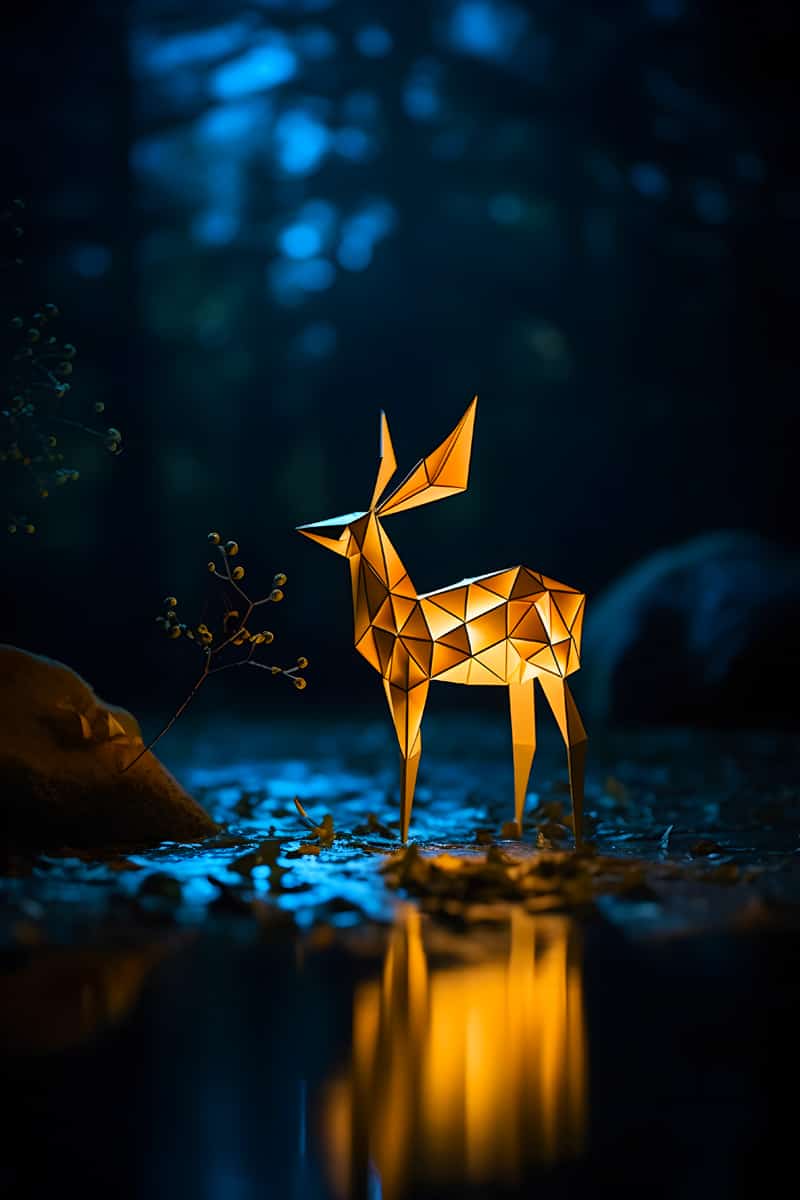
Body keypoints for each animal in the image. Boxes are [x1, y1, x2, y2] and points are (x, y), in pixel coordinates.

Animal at [297, 397, 588, 846]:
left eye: (347, 527)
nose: (309, 530)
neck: (399, 610)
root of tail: (576, 598)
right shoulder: (391, 685)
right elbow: (412, 749)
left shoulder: (411, 682)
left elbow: (410, 752)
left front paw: (401, 841)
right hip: (523, 677)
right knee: (526, 742)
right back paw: (517, 832)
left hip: (554, 668)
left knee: (575, 738)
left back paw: (576, 840)